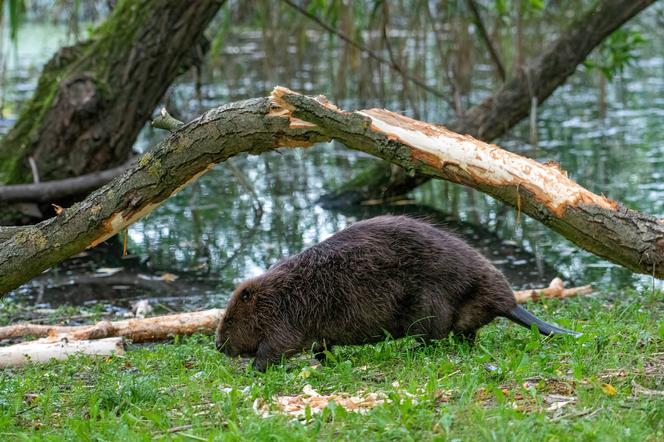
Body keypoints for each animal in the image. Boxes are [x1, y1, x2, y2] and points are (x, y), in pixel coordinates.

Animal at [215, 214, 580, 370]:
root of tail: (507, 301)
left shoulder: (286, 317)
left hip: (429, 302)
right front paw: (323, 359)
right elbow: (321, 345)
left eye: (229, 319)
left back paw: (412, 349)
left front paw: (255, 367)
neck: (280, 292)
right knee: (464, 335)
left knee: (433, 336)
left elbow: (277, 347)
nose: (218, 345)